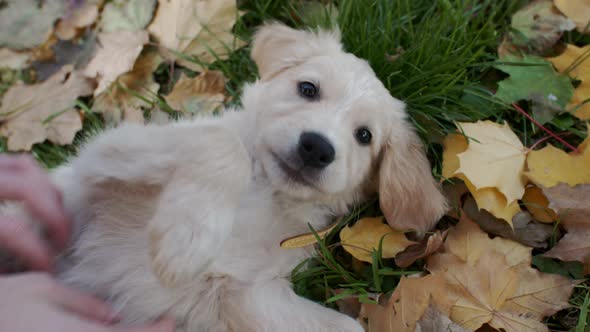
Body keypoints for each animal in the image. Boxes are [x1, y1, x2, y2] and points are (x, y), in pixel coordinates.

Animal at [4, 24, 446, 332]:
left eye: (364, 136)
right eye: (308, 88)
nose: (317, 147)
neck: (268, 193)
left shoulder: (246, 294)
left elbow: (346, 326)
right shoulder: (105, 156)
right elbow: (223, 142)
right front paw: (185, 241)